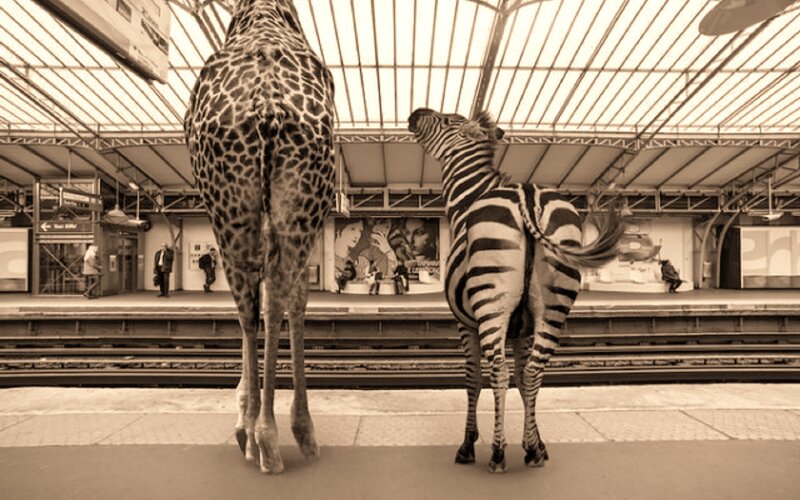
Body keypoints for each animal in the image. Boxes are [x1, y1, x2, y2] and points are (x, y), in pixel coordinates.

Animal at [184, 0, 335, 473]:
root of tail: (269, 102)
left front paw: (244, 413)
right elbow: (292, 300)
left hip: (231, 207)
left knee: (253, 302)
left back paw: (260, 434)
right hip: (297, 198)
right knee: (277, 292)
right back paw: (280, 432)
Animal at [408, 108, 624, 473]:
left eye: (448, 119)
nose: (414, 114)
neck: (466, 204)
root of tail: (527, 195)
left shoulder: (465, 323)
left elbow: (473, 379)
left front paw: (469, 444)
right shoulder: (524, 328)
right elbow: (524, 380)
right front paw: (537, 443)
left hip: (491, 305)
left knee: (498, 371)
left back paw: (496, 452)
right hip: (553, 308)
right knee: (535, 371)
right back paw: (531, 453)